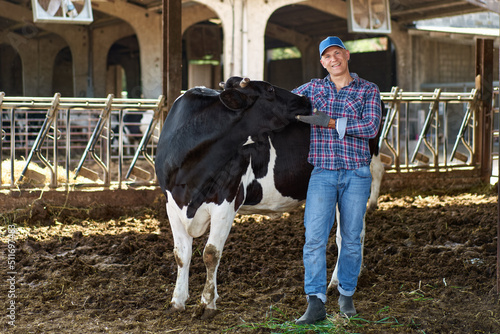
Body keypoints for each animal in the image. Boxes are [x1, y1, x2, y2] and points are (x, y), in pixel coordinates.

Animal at [154, 77, 384, 320]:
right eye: (270, 89)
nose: (305, 99)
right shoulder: (172, 204)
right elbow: (181, 255)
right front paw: (178, 301)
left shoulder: (226, 201)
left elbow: (211, 254)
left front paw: (207, 303)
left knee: (350, 235)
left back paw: (340, 282)